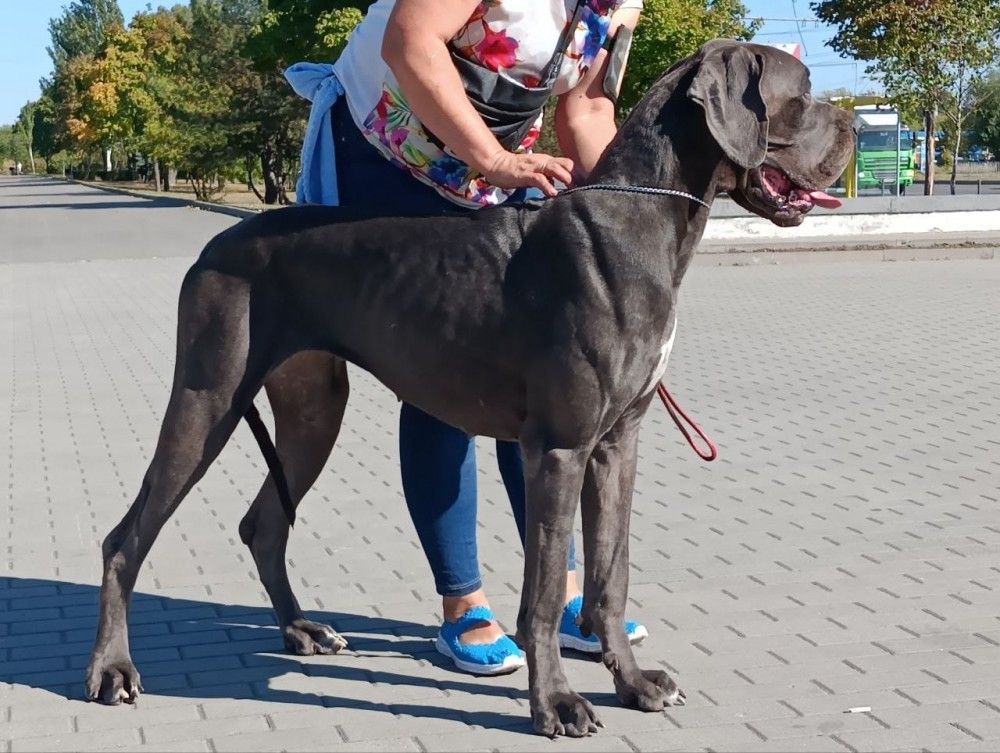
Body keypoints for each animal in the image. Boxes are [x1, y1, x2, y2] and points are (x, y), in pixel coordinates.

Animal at [84, 39, 854, 736]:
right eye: (804, 91)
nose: (850, 124)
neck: (641, 218)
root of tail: (212, 247)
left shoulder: (616, 445)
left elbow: (611, 575)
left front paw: (633, 685)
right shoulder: (560, 448)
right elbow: (541, 594)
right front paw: (556, 703)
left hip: (312, 411)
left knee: (263, 523)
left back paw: (302, 629)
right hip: (207, 400)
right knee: (125, 538)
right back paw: (113, 670)